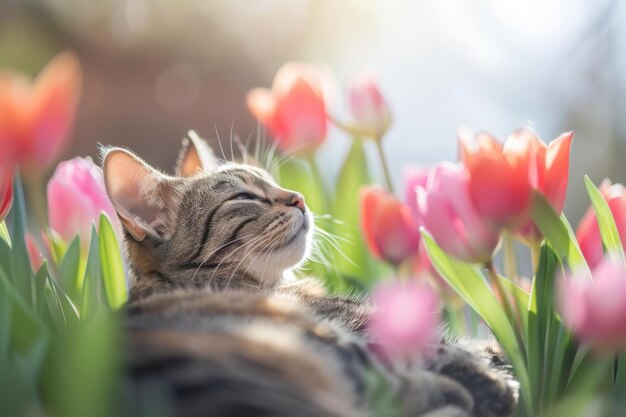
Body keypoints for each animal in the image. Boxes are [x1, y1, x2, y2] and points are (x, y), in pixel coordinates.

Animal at [100, 131, 516, 416]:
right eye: (244, 197)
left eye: (271, 180)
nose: (299, 197)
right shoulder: (371, 329)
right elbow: (471, 351)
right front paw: (495, 377)